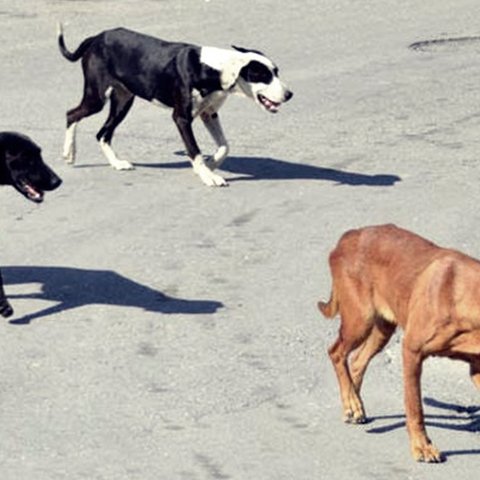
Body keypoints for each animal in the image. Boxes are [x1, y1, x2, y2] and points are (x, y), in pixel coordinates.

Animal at [58, 23, 294, 187]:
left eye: (276, 72)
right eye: (263, 76)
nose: (289, 94)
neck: (212, 68)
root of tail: (97, 37)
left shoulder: (209, 114)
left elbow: (224, 146)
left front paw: (210, 165)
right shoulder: (181, 118)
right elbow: (194, 150)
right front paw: (208, 176)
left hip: (124, 101)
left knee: (102, 134)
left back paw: (116, 163)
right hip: (97, 98)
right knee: (71, 114)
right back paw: (69, 153)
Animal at [318, 224, 480, 462]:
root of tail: (350, 235)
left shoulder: (477, 367)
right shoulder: (411, 350)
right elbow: (415, 407)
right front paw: (422, 447)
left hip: (383, 328)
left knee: (356, 360)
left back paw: (353, 404)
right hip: (360, 320)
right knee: (336, 352)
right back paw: (353, 403)